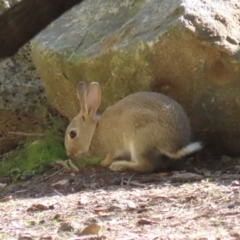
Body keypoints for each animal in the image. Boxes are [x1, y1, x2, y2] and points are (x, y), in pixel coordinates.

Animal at [64, 81, 202, 172]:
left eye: (72, 134)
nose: (69, 154)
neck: (93, 132)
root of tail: (174, 145)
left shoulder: (112, 147)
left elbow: (110, 156)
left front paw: (104, 163)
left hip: (138, 141)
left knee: (146, 166)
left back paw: (119, 165)